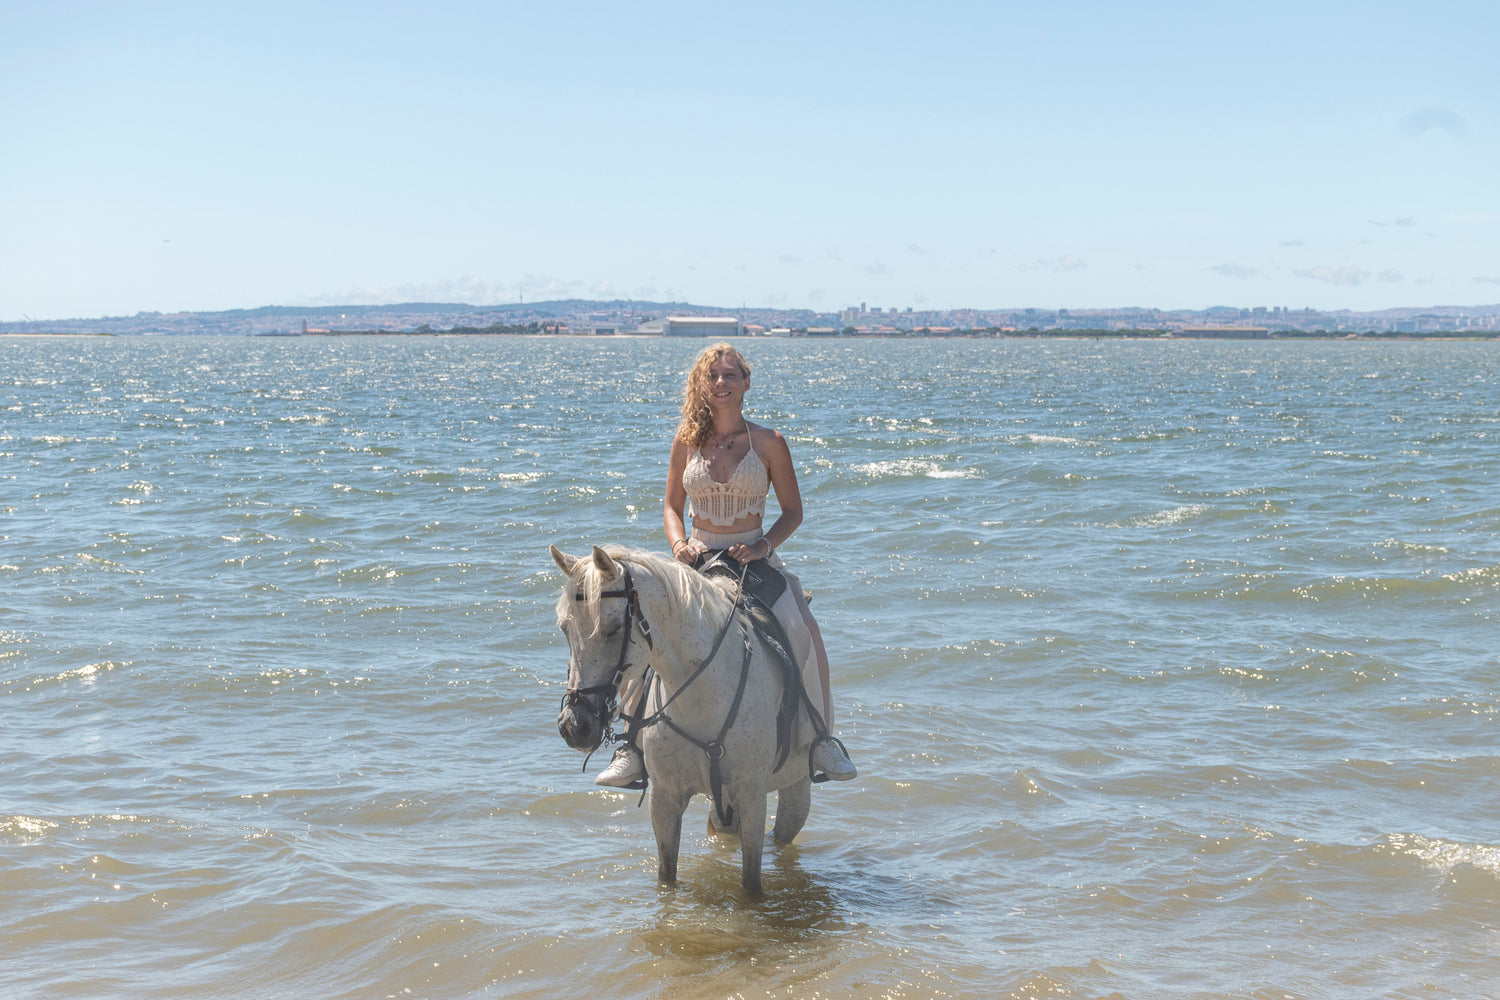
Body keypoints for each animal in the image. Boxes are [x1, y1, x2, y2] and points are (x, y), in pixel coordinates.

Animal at [551, 543, 812, 893]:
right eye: (565, 629)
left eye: (613, 629)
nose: (574, 726)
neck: (702, 697)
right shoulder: (665, 798)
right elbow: (667, 876)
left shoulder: (752, 796)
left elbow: (751, 883)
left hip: (795, 792)